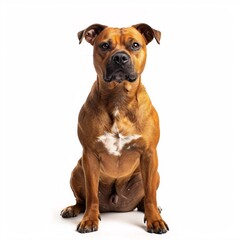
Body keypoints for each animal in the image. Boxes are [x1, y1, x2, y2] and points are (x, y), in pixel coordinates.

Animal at [60, 23, 169, 233]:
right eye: (104, 45)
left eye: (135, 45)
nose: (120, 57)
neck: (119, 97)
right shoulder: (90, 156)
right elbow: (92, 195)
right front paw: (89, 219)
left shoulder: (150, 154)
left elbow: (150, 195)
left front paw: (155, 220)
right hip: (77, 170)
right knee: (81, 200)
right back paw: (72, 209)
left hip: (153, 174)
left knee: (145, 198)